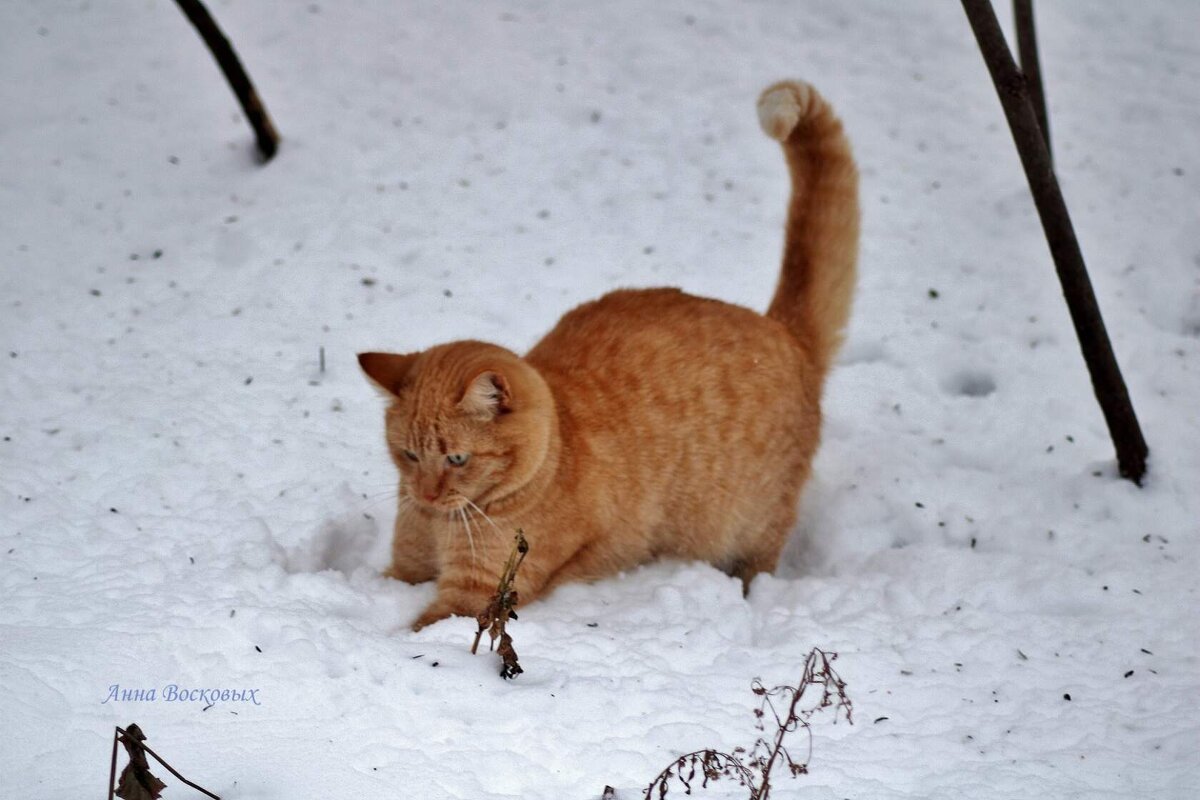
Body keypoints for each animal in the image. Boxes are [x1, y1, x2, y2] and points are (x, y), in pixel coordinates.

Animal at [360, 81, 859, 633]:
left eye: (457, 458)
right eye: (407, 455)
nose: (425, 495)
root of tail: (782, 328)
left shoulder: (475, 596)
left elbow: (419, 629)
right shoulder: (404, 569)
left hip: (748, 529)